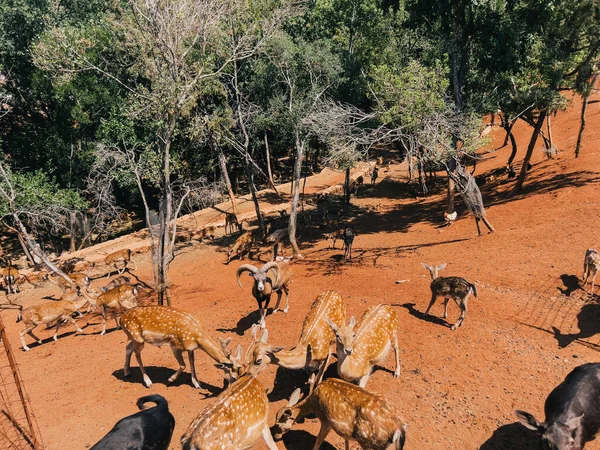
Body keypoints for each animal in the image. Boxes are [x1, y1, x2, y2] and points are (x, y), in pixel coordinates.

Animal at [274, 378, 408, 448]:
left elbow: (318, 440)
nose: (275, 438)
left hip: (370, 443)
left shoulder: (325, 420)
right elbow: (346, 441)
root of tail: (398, 428)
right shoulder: (344, 431)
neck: (312, 402)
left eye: (278, 425)